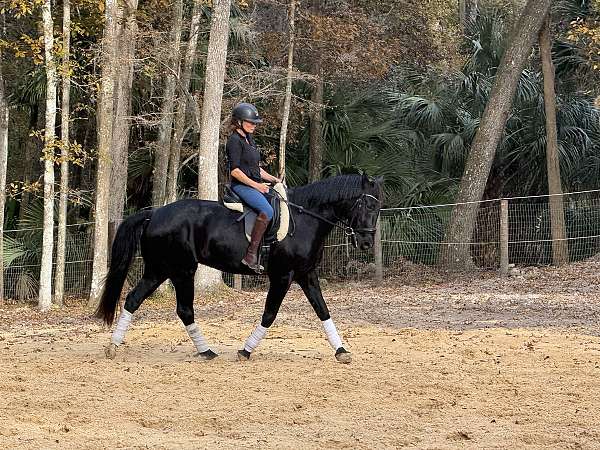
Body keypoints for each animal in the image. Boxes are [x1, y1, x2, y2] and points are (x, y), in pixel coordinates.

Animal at [96, 172, 382, 362]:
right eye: (367, 205)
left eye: (378, 207)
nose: (367, 242)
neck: (305, 219)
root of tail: (154, 214)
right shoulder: (283, 276)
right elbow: (270, 314)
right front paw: (246, 350)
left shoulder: (306, 274)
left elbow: (323, 310)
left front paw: (341, 351)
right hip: (180, 271)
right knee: (182, 309)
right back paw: (204, 351)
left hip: (161, 271)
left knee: (135, 300)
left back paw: (115, 346)